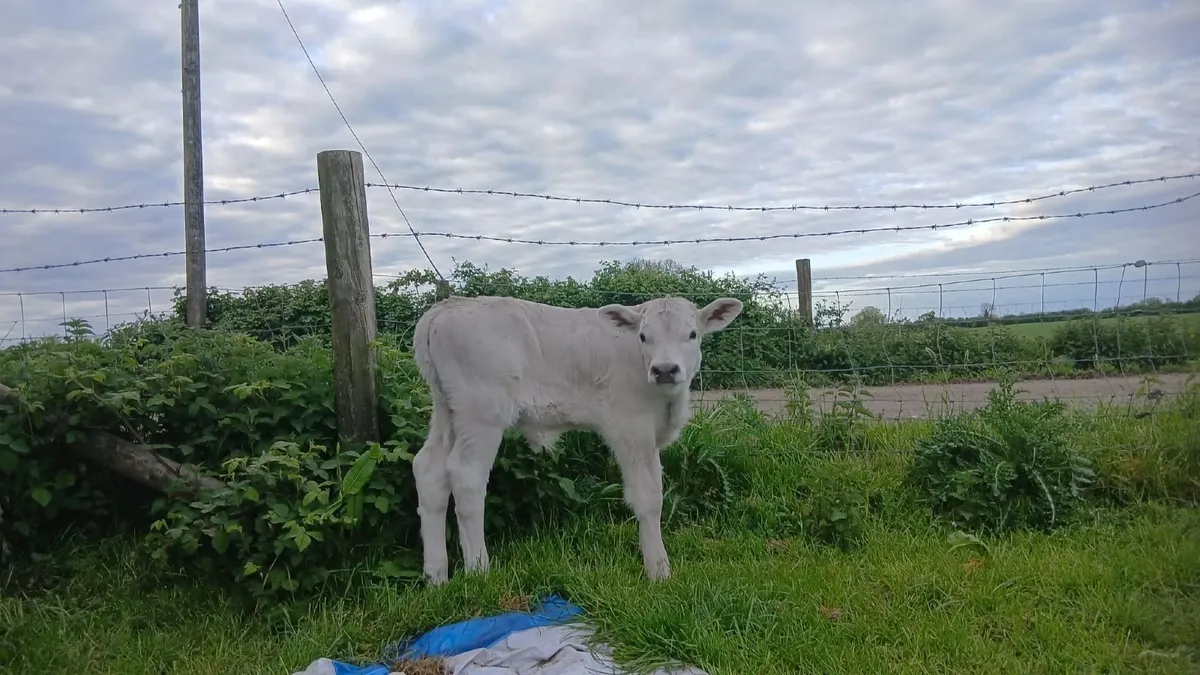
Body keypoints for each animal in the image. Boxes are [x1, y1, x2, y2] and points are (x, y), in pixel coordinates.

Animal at [410, 293, 744, 584]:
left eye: (692, 334)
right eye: (643, 337)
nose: (664, 370)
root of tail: (447, 306)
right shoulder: (632, 428)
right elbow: (649, 498)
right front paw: (658, 570)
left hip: (448, 410)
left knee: (429, 470)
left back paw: (436, 576)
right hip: (481, 413)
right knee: (466, 476)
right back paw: (479, 570)